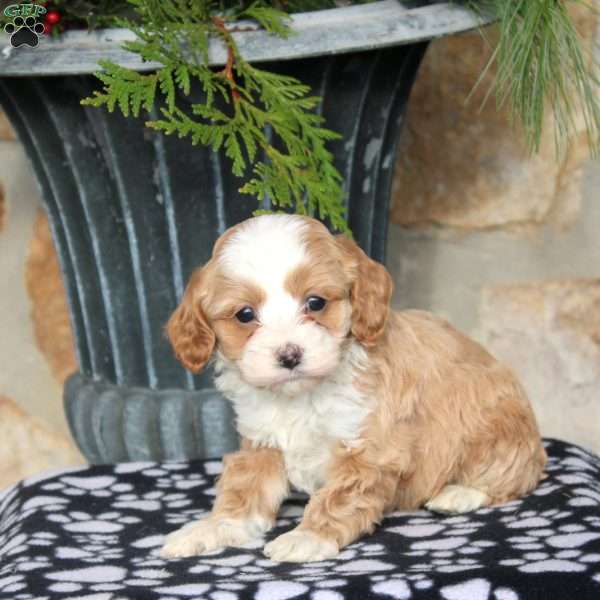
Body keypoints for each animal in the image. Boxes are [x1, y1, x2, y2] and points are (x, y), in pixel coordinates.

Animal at [161, 214, 548, 564]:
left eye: (315, 303)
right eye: (244, 314)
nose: (289, 355)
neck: (302, 396)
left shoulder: (370, 449)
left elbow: (339, 498)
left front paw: (306, 538)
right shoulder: (261, 446)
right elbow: (243, 494)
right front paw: (210, 528)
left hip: (497, 428)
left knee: (512, 475)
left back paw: (459, 493)